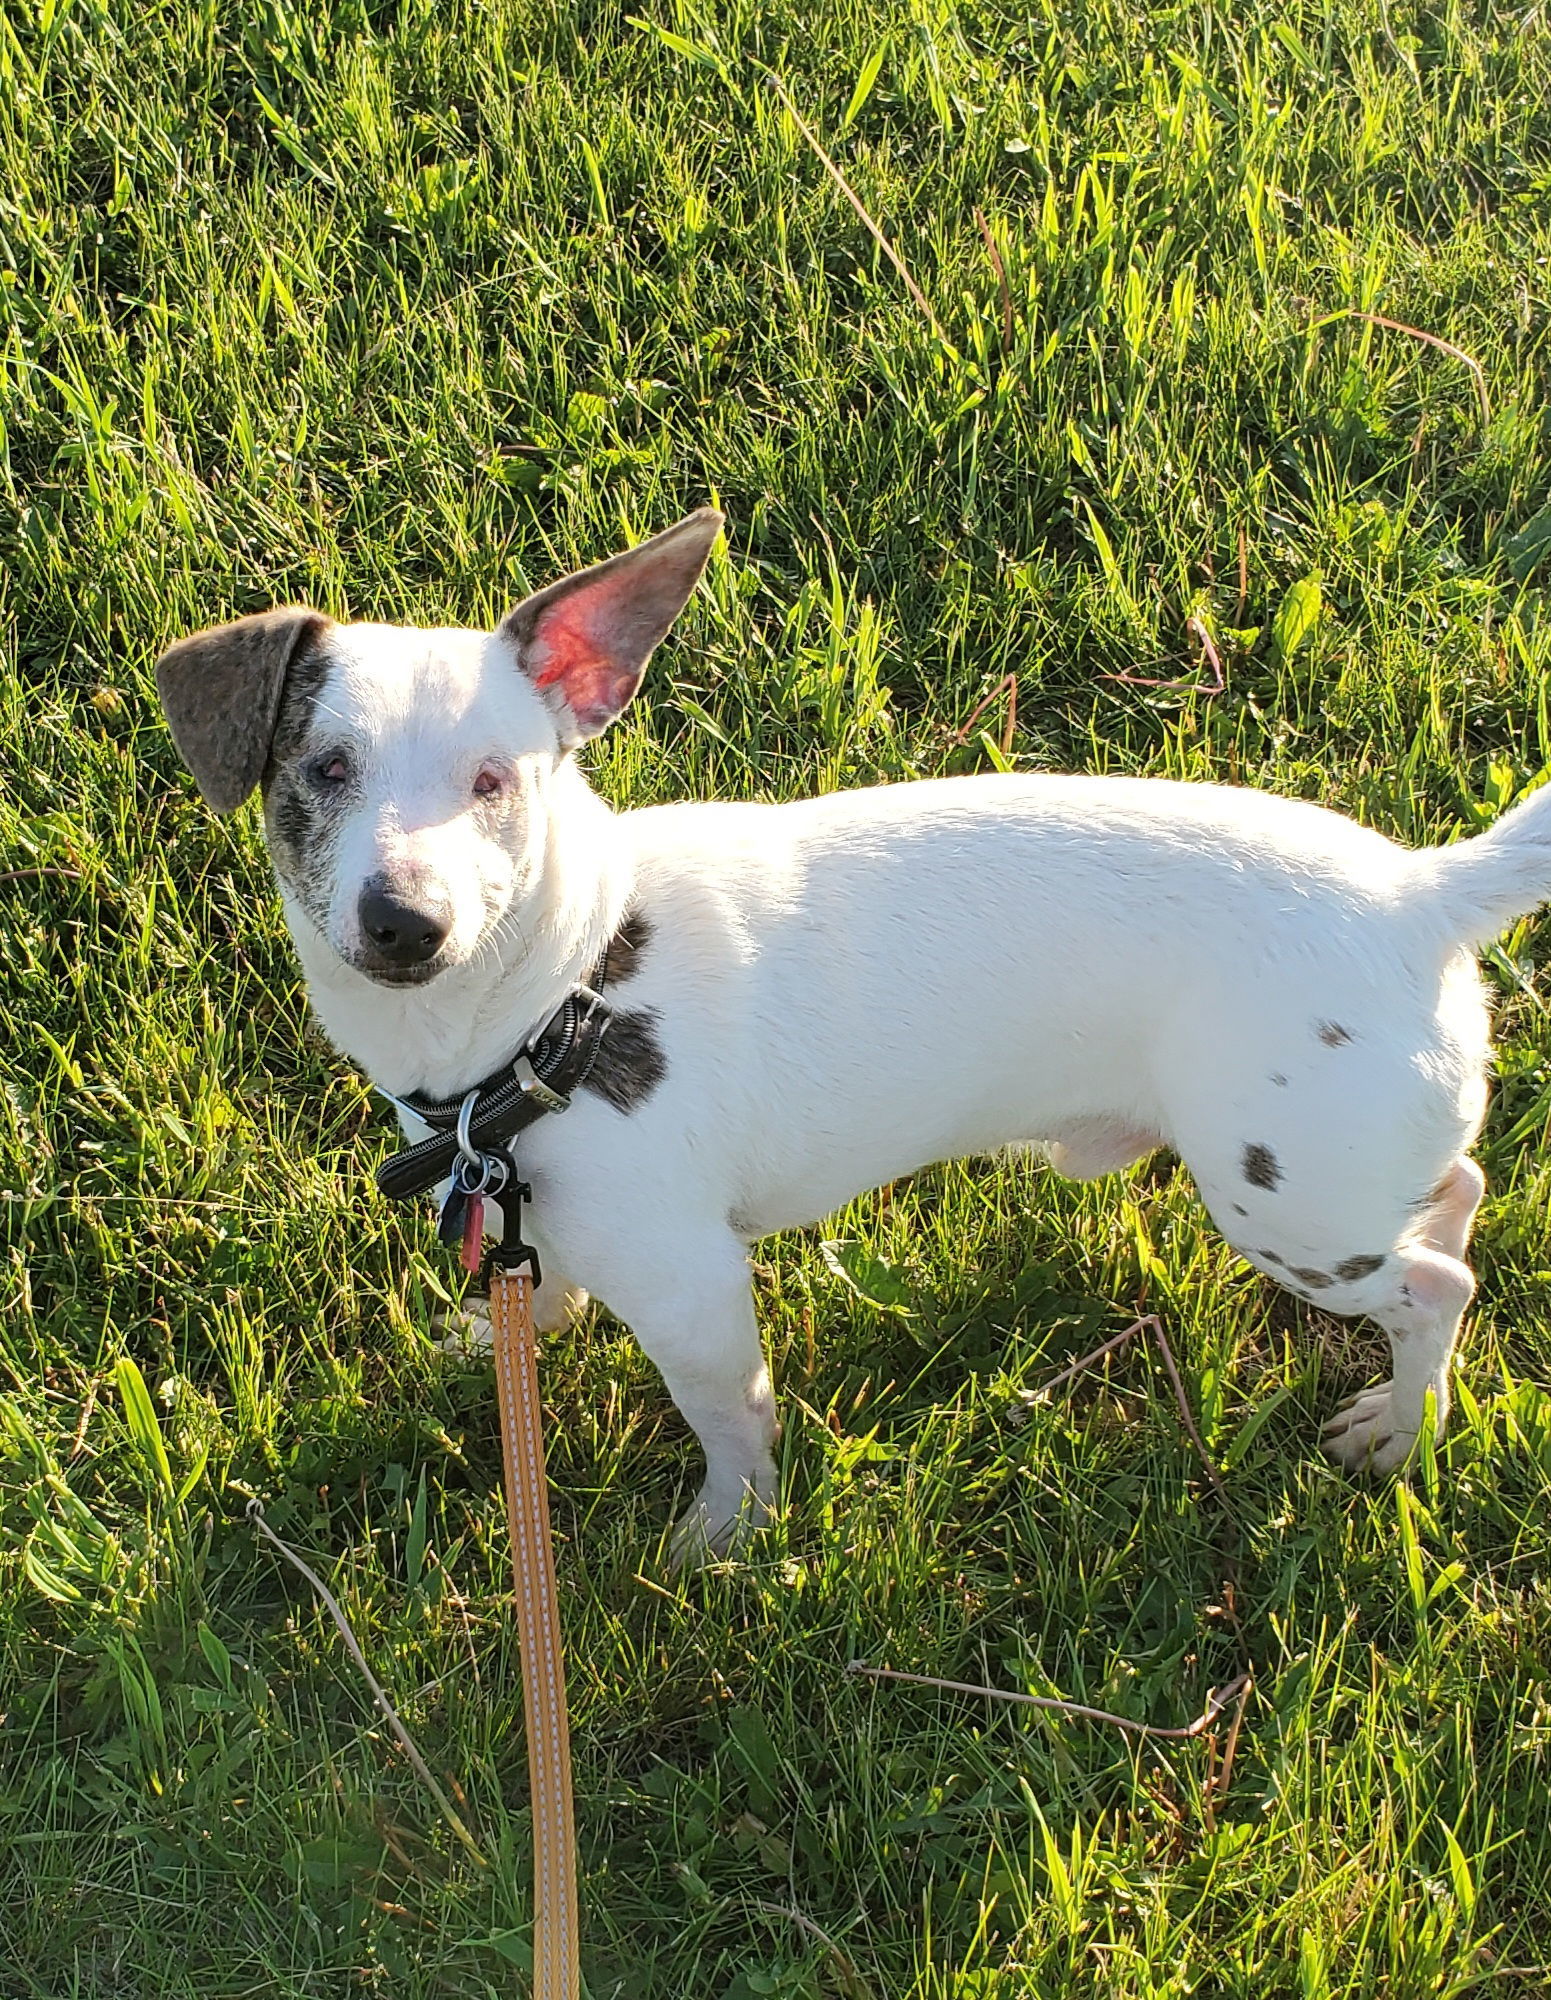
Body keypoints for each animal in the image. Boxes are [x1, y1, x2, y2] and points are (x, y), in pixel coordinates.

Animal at [160, 508, 1551, 1552]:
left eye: (496, 783)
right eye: (323, 770)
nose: (405, 921)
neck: (565, 1000)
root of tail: (1424, 890)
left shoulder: (693, 1285)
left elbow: (730, 1418)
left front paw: (727, 1533)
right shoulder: (535, 1216)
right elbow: (536, 1287)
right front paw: (496, 1333)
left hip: (1285, 1204)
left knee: (1437, 1283)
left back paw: (1402, 1425)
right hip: (1346, 1175)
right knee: (1458, 1191)